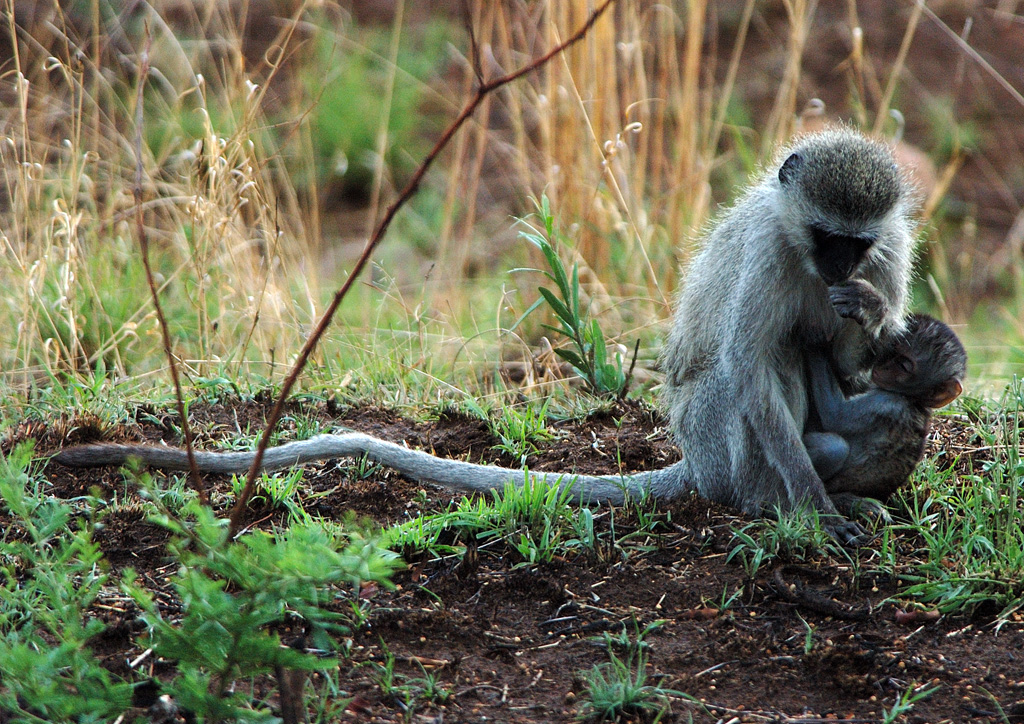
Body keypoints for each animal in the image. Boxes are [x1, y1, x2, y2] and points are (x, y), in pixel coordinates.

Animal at [802, 311, 962, 516]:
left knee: (833, 447)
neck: (916, 402)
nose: (882, 366)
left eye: (903, 365)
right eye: (891, 351)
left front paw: (814, 344)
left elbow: (834, 414)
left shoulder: (888, 403)